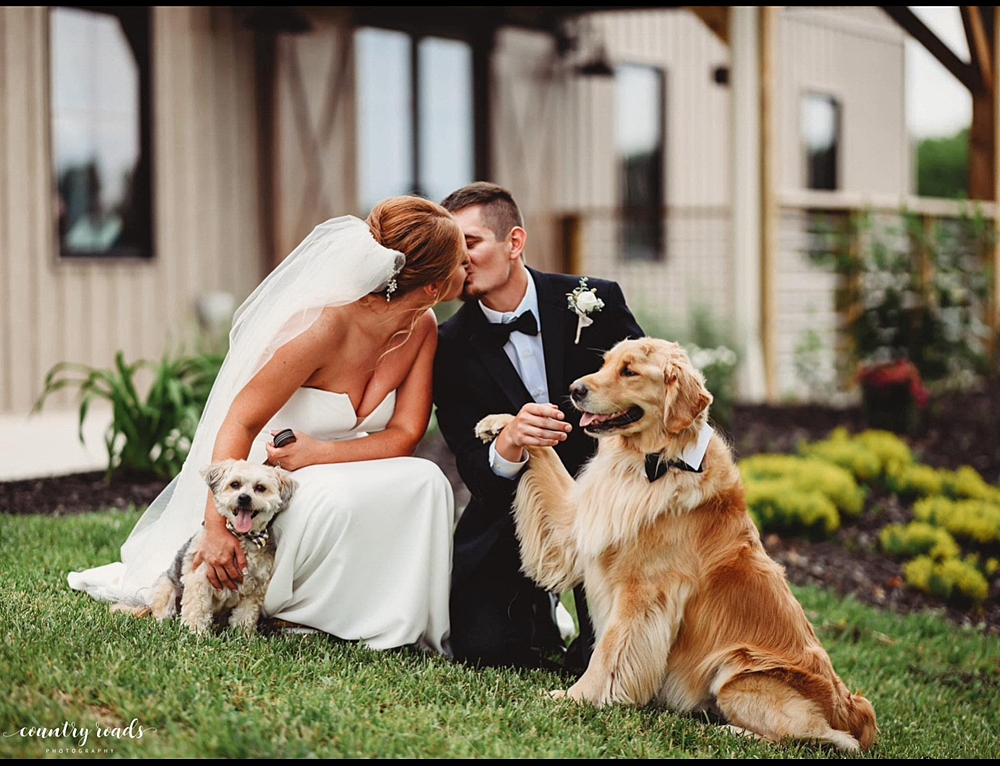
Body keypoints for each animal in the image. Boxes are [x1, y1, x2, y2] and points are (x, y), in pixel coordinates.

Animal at [146, 462, 296, 636]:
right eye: (235, 484)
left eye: (260, 487)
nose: (244, 498)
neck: (242, 537)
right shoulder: (199, 579)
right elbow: (196, 609)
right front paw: (195, 632)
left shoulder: (255, 589)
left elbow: (245, 615)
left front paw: (242, 636)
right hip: (165, 588)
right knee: (162, 613)